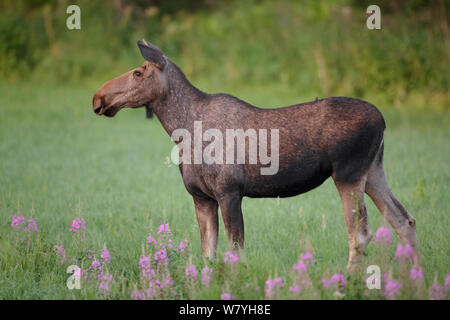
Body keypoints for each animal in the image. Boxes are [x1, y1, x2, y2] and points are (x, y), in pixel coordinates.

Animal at [92, 39, 422, 270]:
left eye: (137, 72)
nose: (98, 97)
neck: (181, 131)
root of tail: (383, 121)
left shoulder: (229, 191)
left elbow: (234, 251)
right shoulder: (201, 197)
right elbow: (208, 255)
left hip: (348, 174)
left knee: (361, 233)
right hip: (373, 171)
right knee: (404, 220)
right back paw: (416, 279)